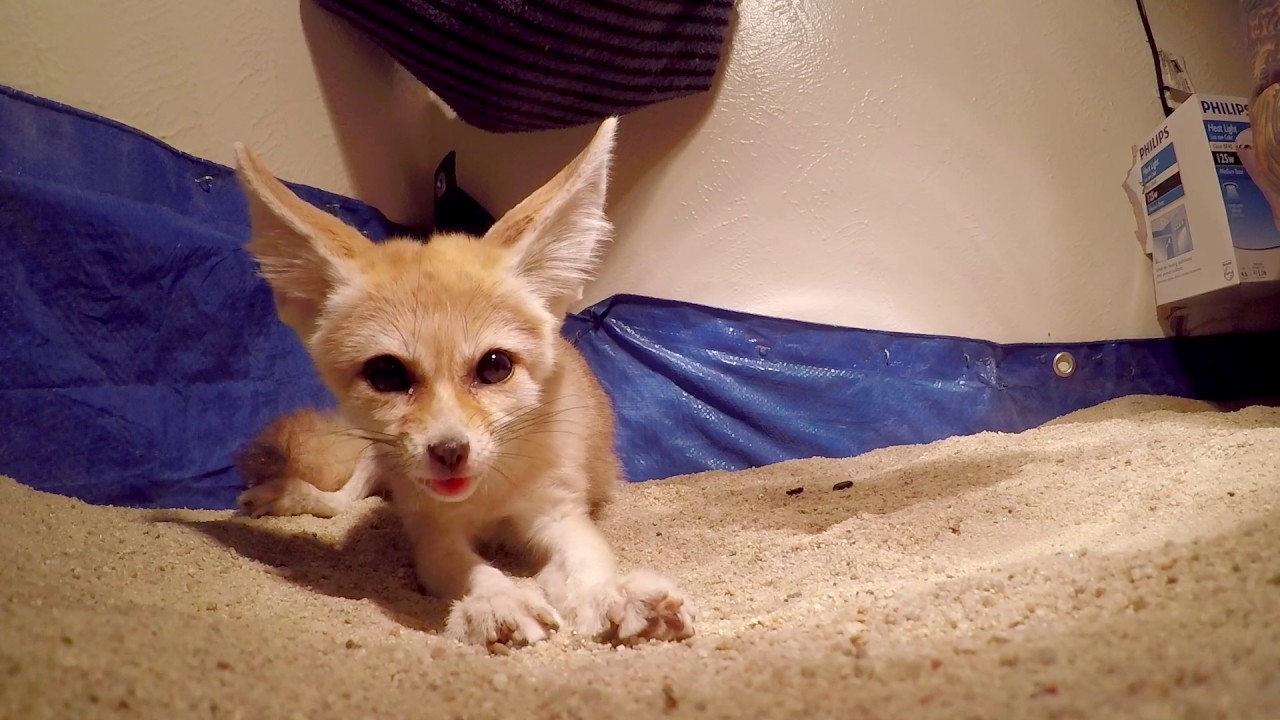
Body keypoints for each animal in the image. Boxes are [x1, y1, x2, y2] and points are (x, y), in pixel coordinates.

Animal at [228, 118, 695, 650]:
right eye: (386, 374)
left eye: (495, 367)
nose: (450, 452)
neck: (486, 498)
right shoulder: (433, 531)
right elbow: (472, 569)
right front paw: (498, 599)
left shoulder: (559, 514)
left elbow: (588, 565)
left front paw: (615, 596)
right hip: (380, 460)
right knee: (342, 500)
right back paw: (296, 496)